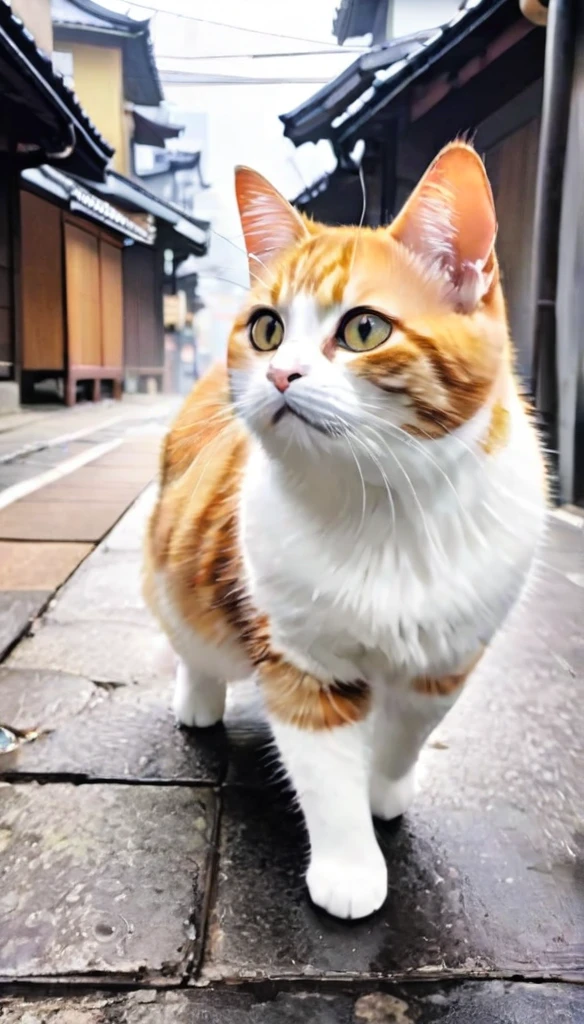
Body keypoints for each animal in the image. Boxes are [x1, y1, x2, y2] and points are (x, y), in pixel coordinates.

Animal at [144, 142, 545, 921]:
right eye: (267, 328)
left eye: (364, 329)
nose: (278, 373)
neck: (386, 509)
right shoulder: (304, 659)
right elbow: (326, 775)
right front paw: (351, 866)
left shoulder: (446, 659)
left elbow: (403, 738)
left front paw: (382, 789)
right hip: (178, 585)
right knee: (194, 645)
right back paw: (199, 700)